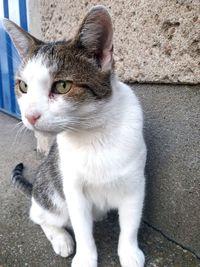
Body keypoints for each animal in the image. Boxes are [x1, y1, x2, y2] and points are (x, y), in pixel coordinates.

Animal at [2, 5, 146, 267]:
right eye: (23, 86)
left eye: (62, 86)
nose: (30, 115)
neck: (93, 132)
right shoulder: (72, 188)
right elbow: (81, 229)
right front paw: (85, 257)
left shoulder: (135, 184)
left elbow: (130, 224)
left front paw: (129, 252)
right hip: (53, 194)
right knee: (39, 214)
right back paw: (61, 238)